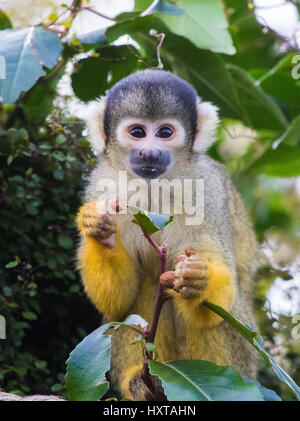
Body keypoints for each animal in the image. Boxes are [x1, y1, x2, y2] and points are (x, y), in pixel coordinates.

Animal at [75, 69, 258, 400]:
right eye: (137, 132)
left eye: (165, 133)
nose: (150, 152)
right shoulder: (100, 186)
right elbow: (116, 301)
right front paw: (100, 231)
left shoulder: (208, 189)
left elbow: (220, 295)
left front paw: (199, 278)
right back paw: (140, 383)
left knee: (221, 314)